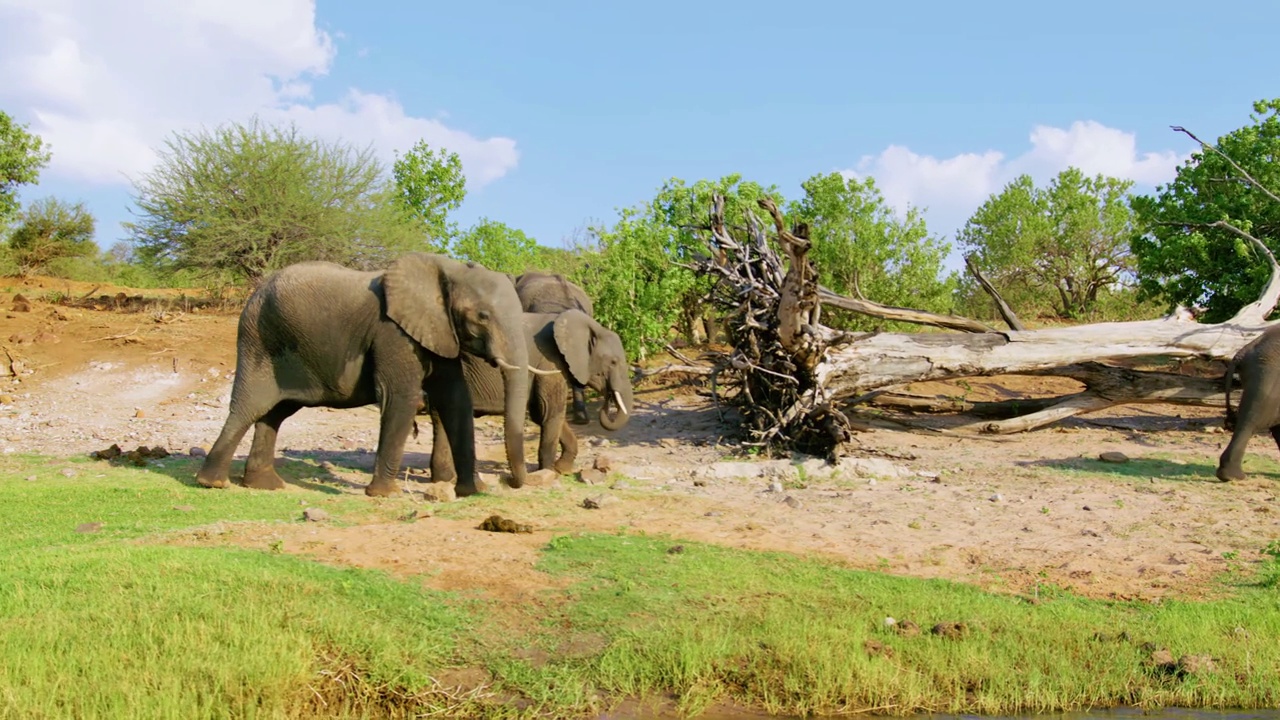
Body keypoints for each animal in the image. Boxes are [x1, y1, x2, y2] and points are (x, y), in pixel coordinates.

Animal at [193, 253, 529, 499]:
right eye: (483, 316)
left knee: (274, 413)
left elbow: (456, 399)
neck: (447, 269)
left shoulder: (439, 332)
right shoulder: (392, 332)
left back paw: (265, 485)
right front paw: (385, 495)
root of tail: (256, 292)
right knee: (250, 406)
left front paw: (474, 491)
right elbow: (402, 398)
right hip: (259, 340)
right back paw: (213, 483)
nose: (511, 483)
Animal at [427, 308, 632, 481]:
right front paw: (549, 474)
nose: (607, 400)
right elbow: (550, 412)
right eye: (614, 362)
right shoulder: (550, 361)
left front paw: (562, 469)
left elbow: (543, 414)